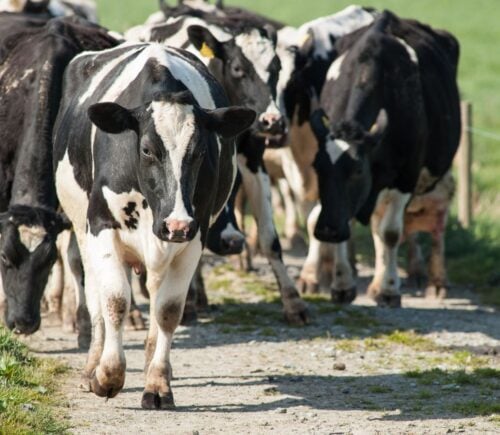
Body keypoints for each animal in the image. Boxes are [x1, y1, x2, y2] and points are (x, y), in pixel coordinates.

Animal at [53, 42, 254, 408]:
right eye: (147, 149)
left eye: (200, 152)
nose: (176, 223)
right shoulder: (102, 227)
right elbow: (115, 300)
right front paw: (108, 375)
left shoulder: (194, 236)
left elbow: (168, 311)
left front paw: (158, 383)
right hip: (82, 230)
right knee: (95, 298)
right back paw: (92, 367)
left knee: (155, 295)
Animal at [127, 8, 310, 326]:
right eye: (237, 69)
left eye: (276, 67)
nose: (272, 121)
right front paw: (188, 301)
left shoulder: (252, 159)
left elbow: (269, 237)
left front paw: (293, 302)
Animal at [308, 10, 460, 308]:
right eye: (317, 168)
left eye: (357, 170)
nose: (327, 230)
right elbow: (352, 224)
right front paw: (342, 284)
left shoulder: (406, 177)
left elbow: (390, 233)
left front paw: (389, 290)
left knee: (429, 222)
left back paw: (433, 282)